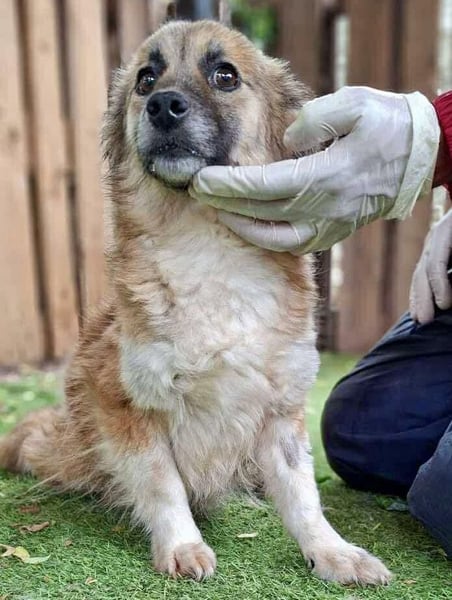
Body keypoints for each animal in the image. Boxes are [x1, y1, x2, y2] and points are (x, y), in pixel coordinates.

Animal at [0, 20, 391, 585]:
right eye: (146, 79)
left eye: (225, 75)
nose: (162, 105)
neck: (206, 247)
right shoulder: (125, 404)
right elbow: (162, 483)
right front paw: (182, 544)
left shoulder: (281, 410)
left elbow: (302, 495)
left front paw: (331, 550)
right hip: (67, 451)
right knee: (35, 439)